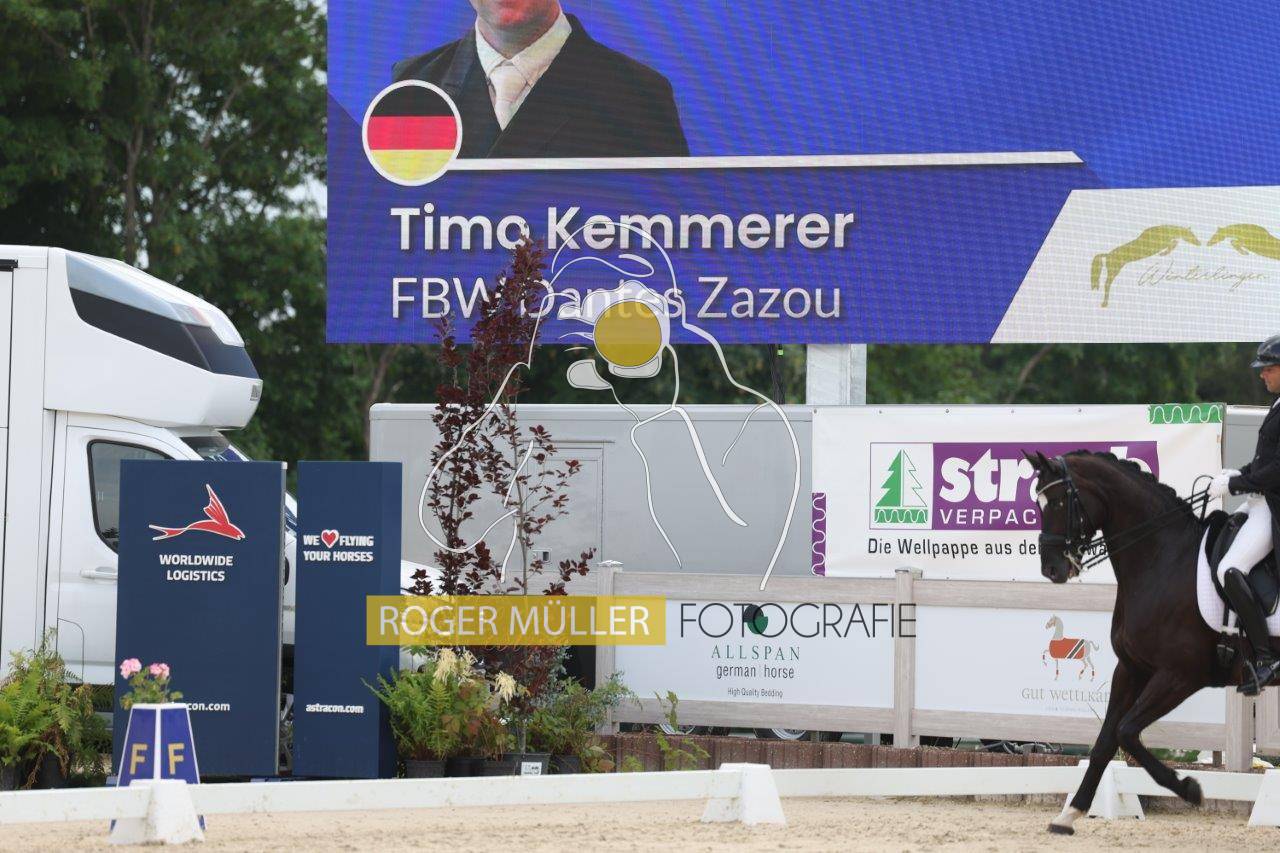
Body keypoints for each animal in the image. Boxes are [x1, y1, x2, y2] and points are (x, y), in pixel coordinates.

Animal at [1024, 449, 1260, 835]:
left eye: (1058, 500)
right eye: (1038, 502)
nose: (1052, 569)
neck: (1161, 561)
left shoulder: (1179, 676)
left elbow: (1127, 732)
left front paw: (1189, 788)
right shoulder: (1131, 668)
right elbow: (1105, 742)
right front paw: (1069, 813)